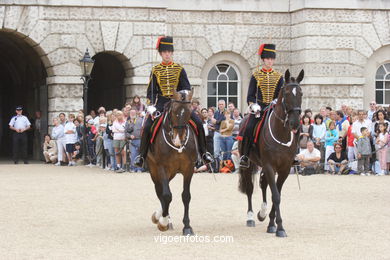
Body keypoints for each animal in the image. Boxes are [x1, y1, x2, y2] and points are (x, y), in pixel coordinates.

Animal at [149, 89, 200, 236]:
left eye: (189, 111)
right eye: (174, 111)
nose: (178, 139)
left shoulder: (189, 169)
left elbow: (186, 196)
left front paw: (187, 226)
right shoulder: (162, 167)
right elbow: (166, 195)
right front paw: (163, 222)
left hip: (171, 172)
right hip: (154, 171)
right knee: (160, 191)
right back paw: (162, 218)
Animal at [238, 69, 304, 238]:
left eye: (301, 93)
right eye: (286, 93)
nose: (295, 123)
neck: (281, 133)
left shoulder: (284, 169)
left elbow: (277, 194)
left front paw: (272, 223)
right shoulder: (269, 166)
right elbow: (275, 195)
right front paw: (279, 227)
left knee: (263, 183)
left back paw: (262, 213)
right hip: (248, 164)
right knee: (250, 188)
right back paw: (250, 217)